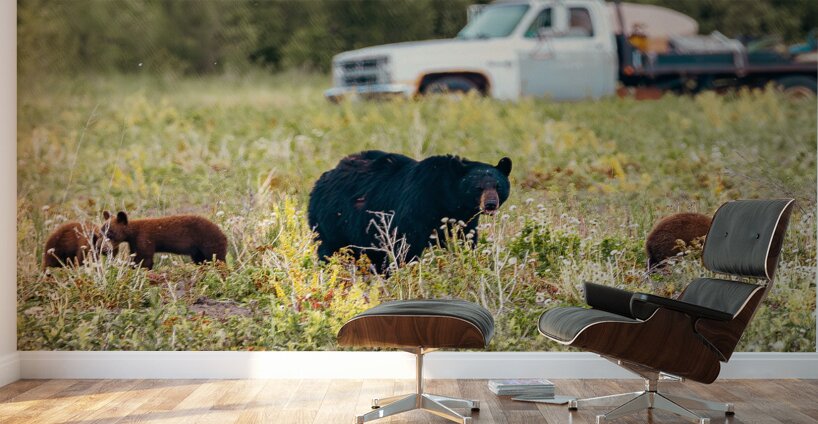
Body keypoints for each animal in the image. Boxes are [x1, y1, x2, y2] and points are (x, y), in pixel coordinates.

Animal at [308, 150, 512, 271]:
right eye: (477, 187)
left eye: (498, 185)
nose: (490, 204)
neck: (448, 199)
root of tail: (322, 179)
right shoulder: (417, 207)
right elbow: (407, 245)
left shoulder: (464, 220)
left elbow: (465, 241)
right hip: (332, 219)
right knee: (329, 249)